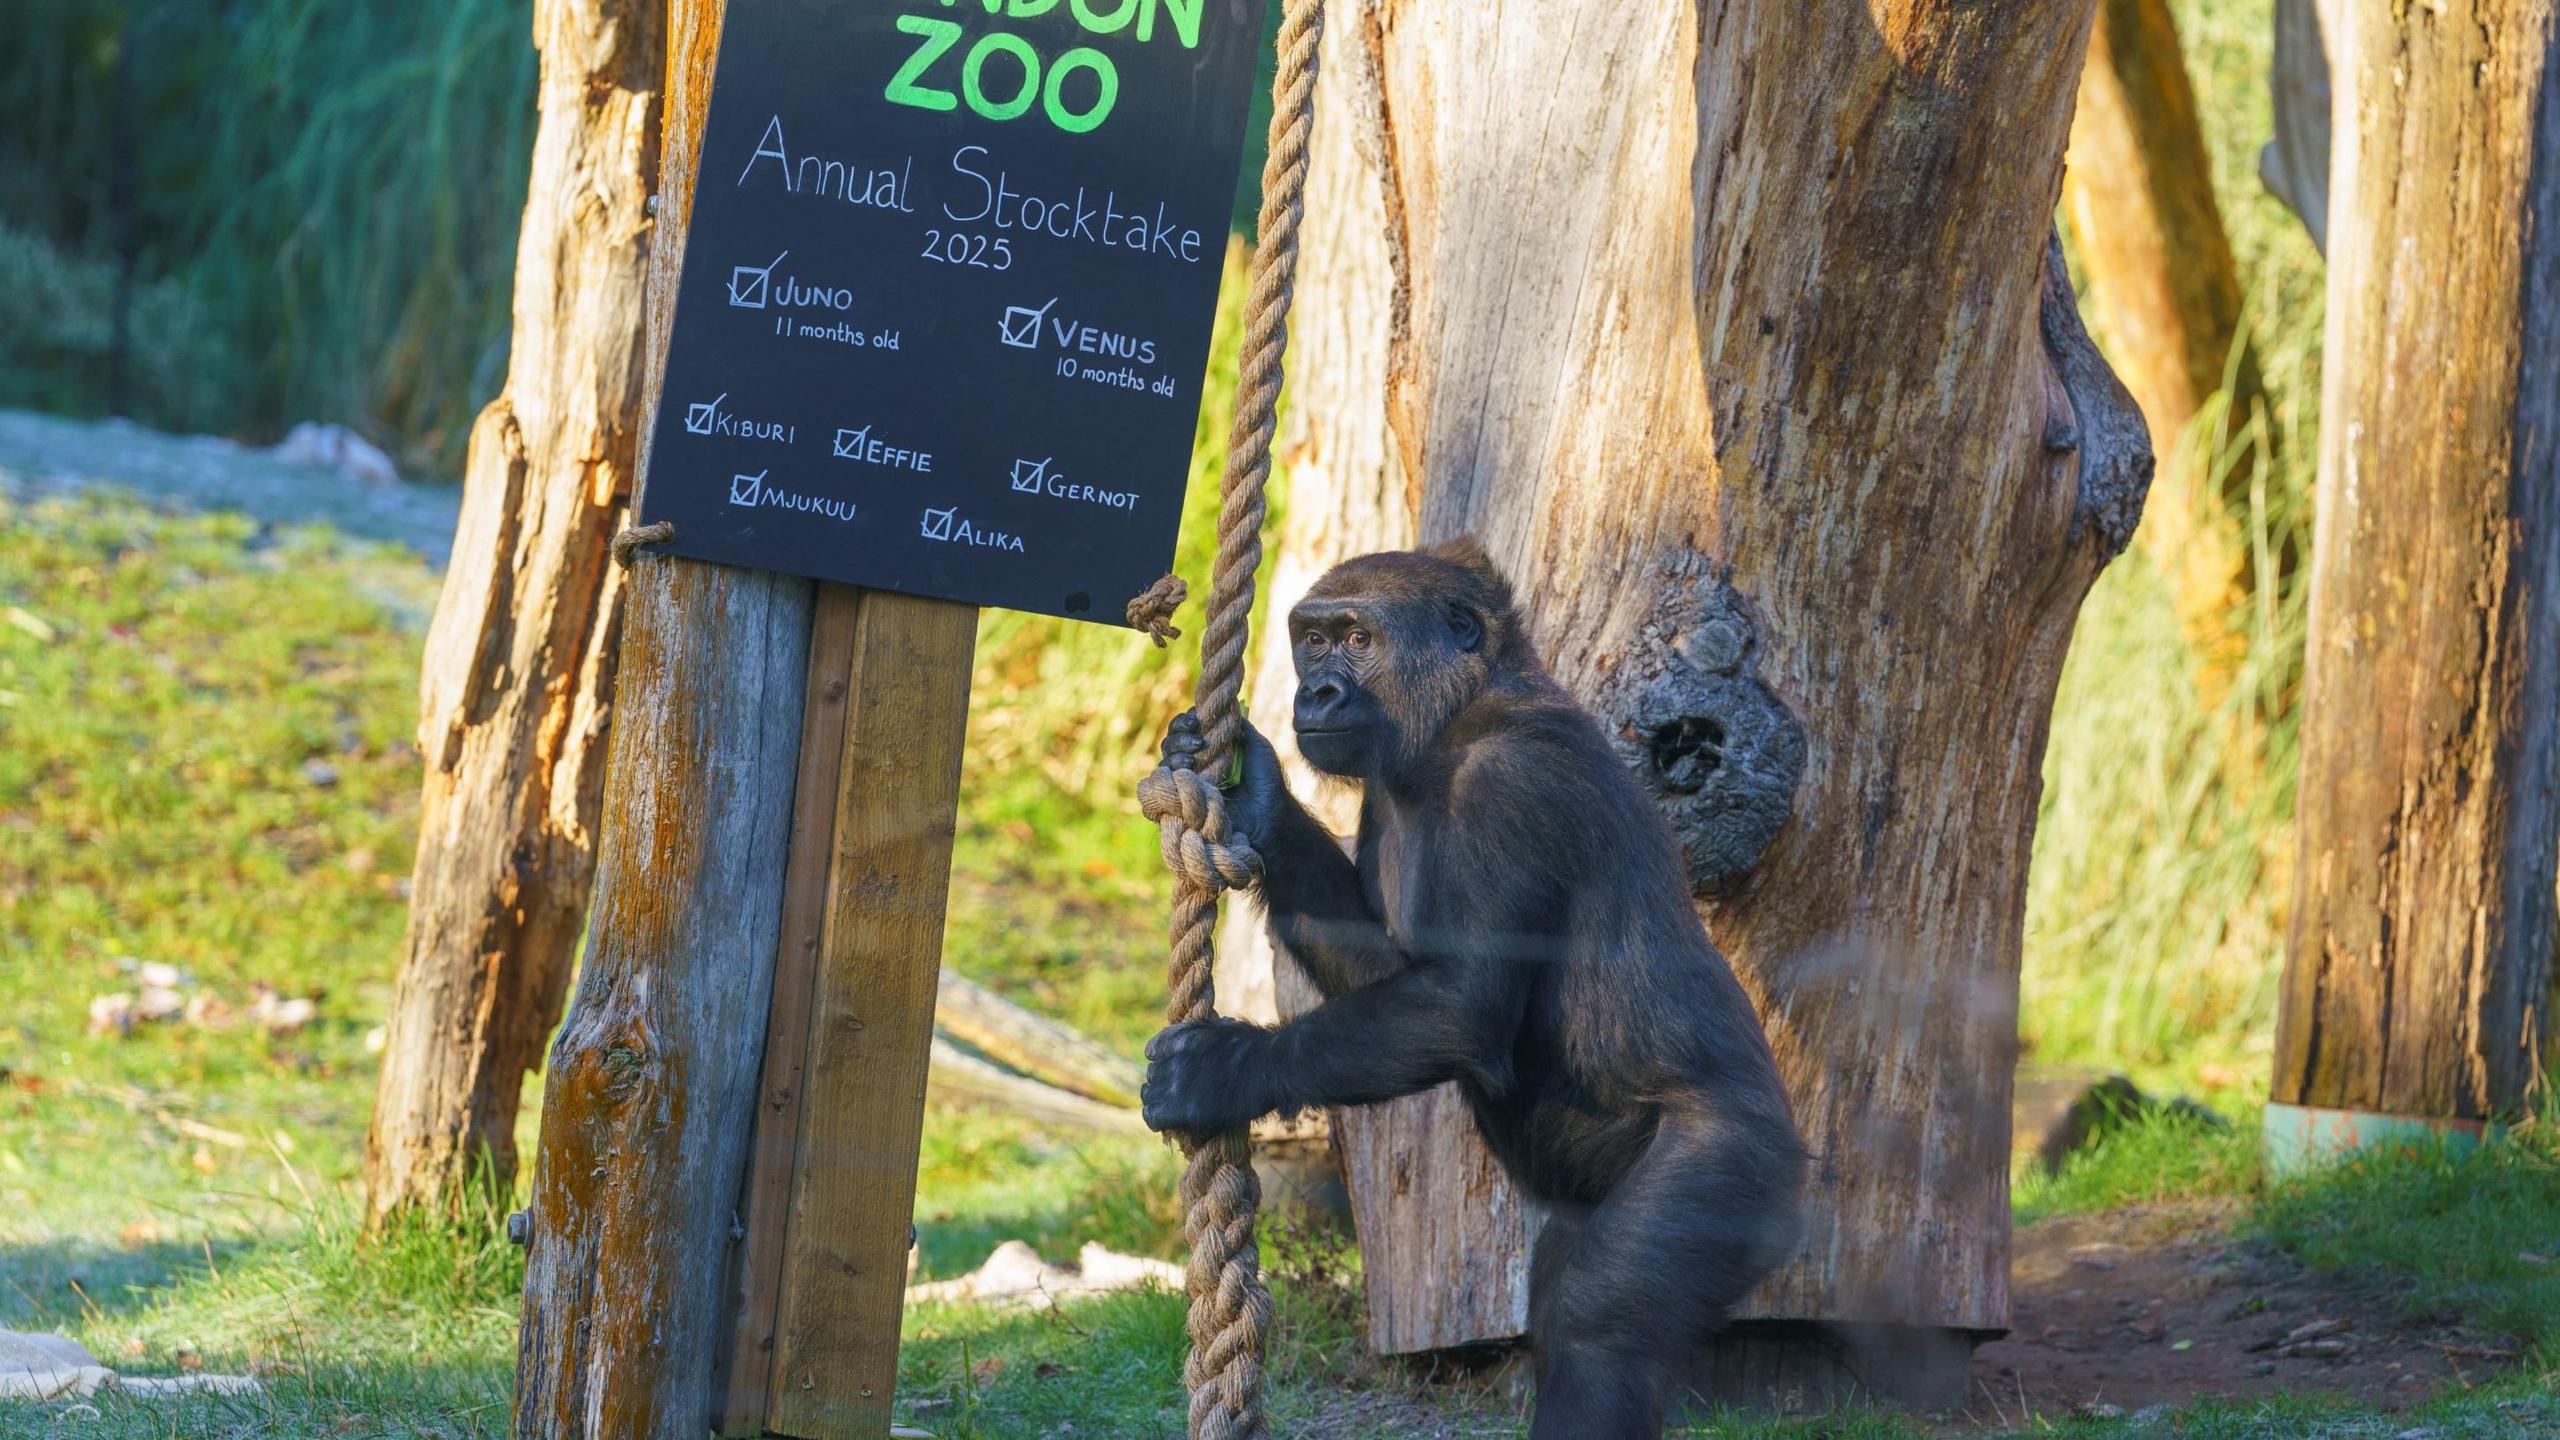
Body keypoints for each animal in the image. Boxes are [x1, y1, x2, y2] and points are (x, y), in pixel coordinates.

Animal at [1152, 538, 1812, 1434]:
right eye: (1313, 641)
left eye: (1357, 639)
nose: (1316, 689)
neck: (1461, 711)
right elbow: (1388, 973)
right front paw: (1259, 801)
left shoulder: (1509, 784)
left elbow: (1457, 1003)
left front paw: (1220, 1071)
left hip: (1746, 1170)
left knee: (1604, 1325)